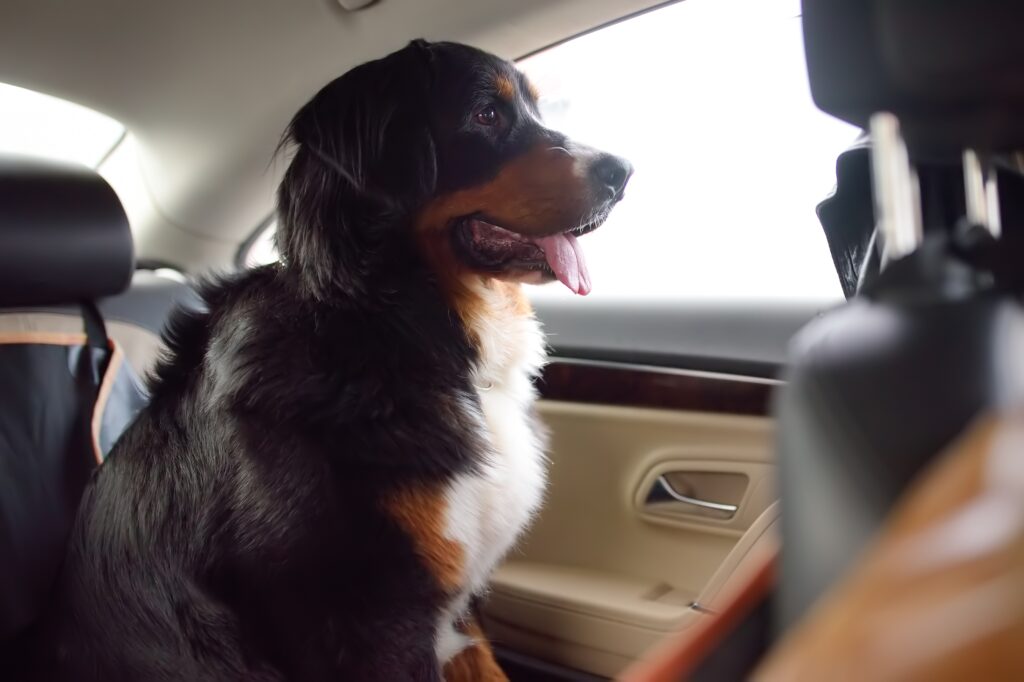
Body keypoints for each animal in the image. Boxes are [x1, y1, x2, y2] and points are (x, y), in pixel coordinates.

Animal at [25, 39, 630, 675]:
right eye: (486, 114)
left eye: (536, 109)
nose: (623, 173)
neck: (391, 325)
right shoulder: (367, 623)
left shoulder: (454, 610)